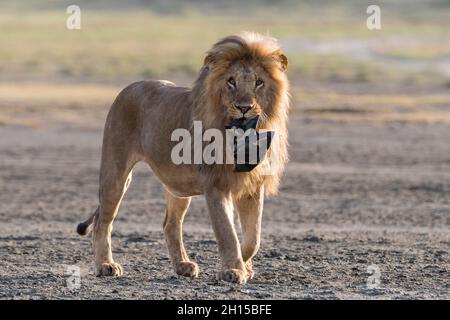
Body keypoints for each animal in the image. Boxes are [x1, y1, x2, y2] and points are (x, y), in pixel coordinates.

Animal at [77, 31, 288, 282]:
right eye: (231, 81)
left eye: (258, 82)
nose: (244, 107)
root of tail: (130, 86)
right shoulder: (215, 185)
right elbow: (227, 233)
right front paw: (232, 270)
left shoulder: (252, 185)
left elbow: (252, 238)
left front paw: (243, 267)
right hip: (116, 173)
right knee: (103, 221)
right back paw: (106, 265)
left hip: (177, 185)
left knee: (170, 224)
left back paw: (182, 265)